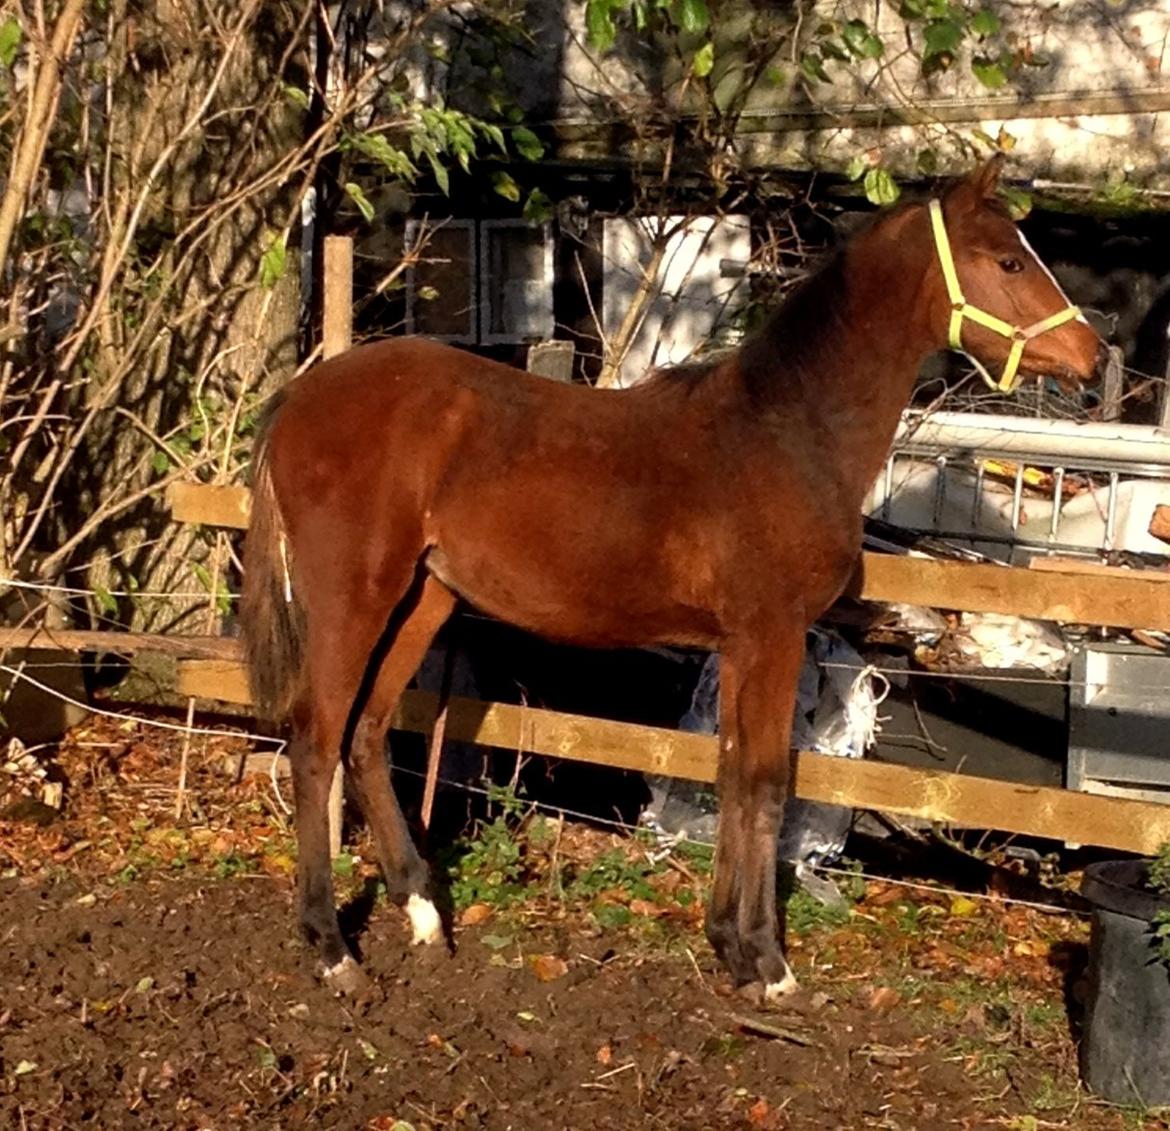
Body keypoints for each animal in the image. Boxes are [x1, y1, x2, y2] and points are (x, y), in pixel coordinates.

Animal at [239, 156, 1104, 1001]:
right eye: (1009, 259)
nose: (1093, 360)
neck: (788, 433)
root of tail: (299, 397)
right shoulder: (773, 633)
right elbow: (764, 781)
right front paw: (769, 964)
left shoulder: (743, 644)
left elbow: (734, 773)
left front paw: (731, 944)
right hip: (353, 598)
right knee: (315, 738)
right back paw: (332, 949)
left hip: (425, 600)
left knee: (369, 735)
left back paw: (422, 913)